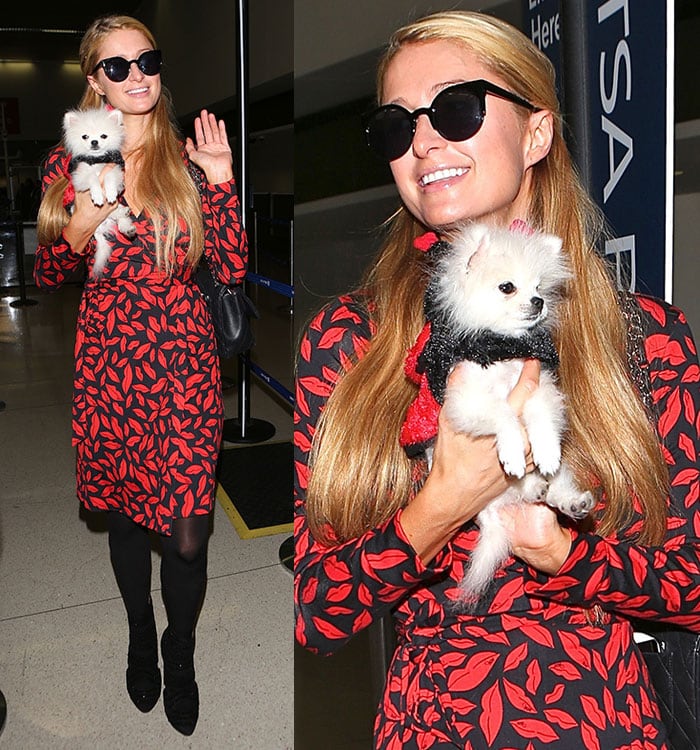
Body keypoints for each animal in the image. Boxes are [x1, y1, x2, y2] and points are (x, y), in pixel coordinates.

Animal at [63, 107, 135, 278]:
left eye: (103, 136)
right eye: (85, 136)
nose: (94, 142)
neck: (96, 161)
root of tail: (99, 231)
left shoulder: (115, 172)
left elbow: (108, 178)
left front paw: (110, 193)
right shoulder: (80, 178)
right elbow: (92, 179)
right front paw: (97, 195)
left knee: (120, 218)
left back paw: (126, 224)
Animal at [426, 225, 596, 612]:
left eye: (539, 287)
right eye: (507, 287)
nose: (538, 302)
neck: (502, 348)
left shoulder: (540, 388)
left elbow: (539, 419)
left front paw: (545, 450)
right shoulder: (466, 401)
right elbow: (504, 414)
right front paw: (515, 452)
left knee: (553, 490)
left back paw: (566, 498)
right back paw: (531, 485)